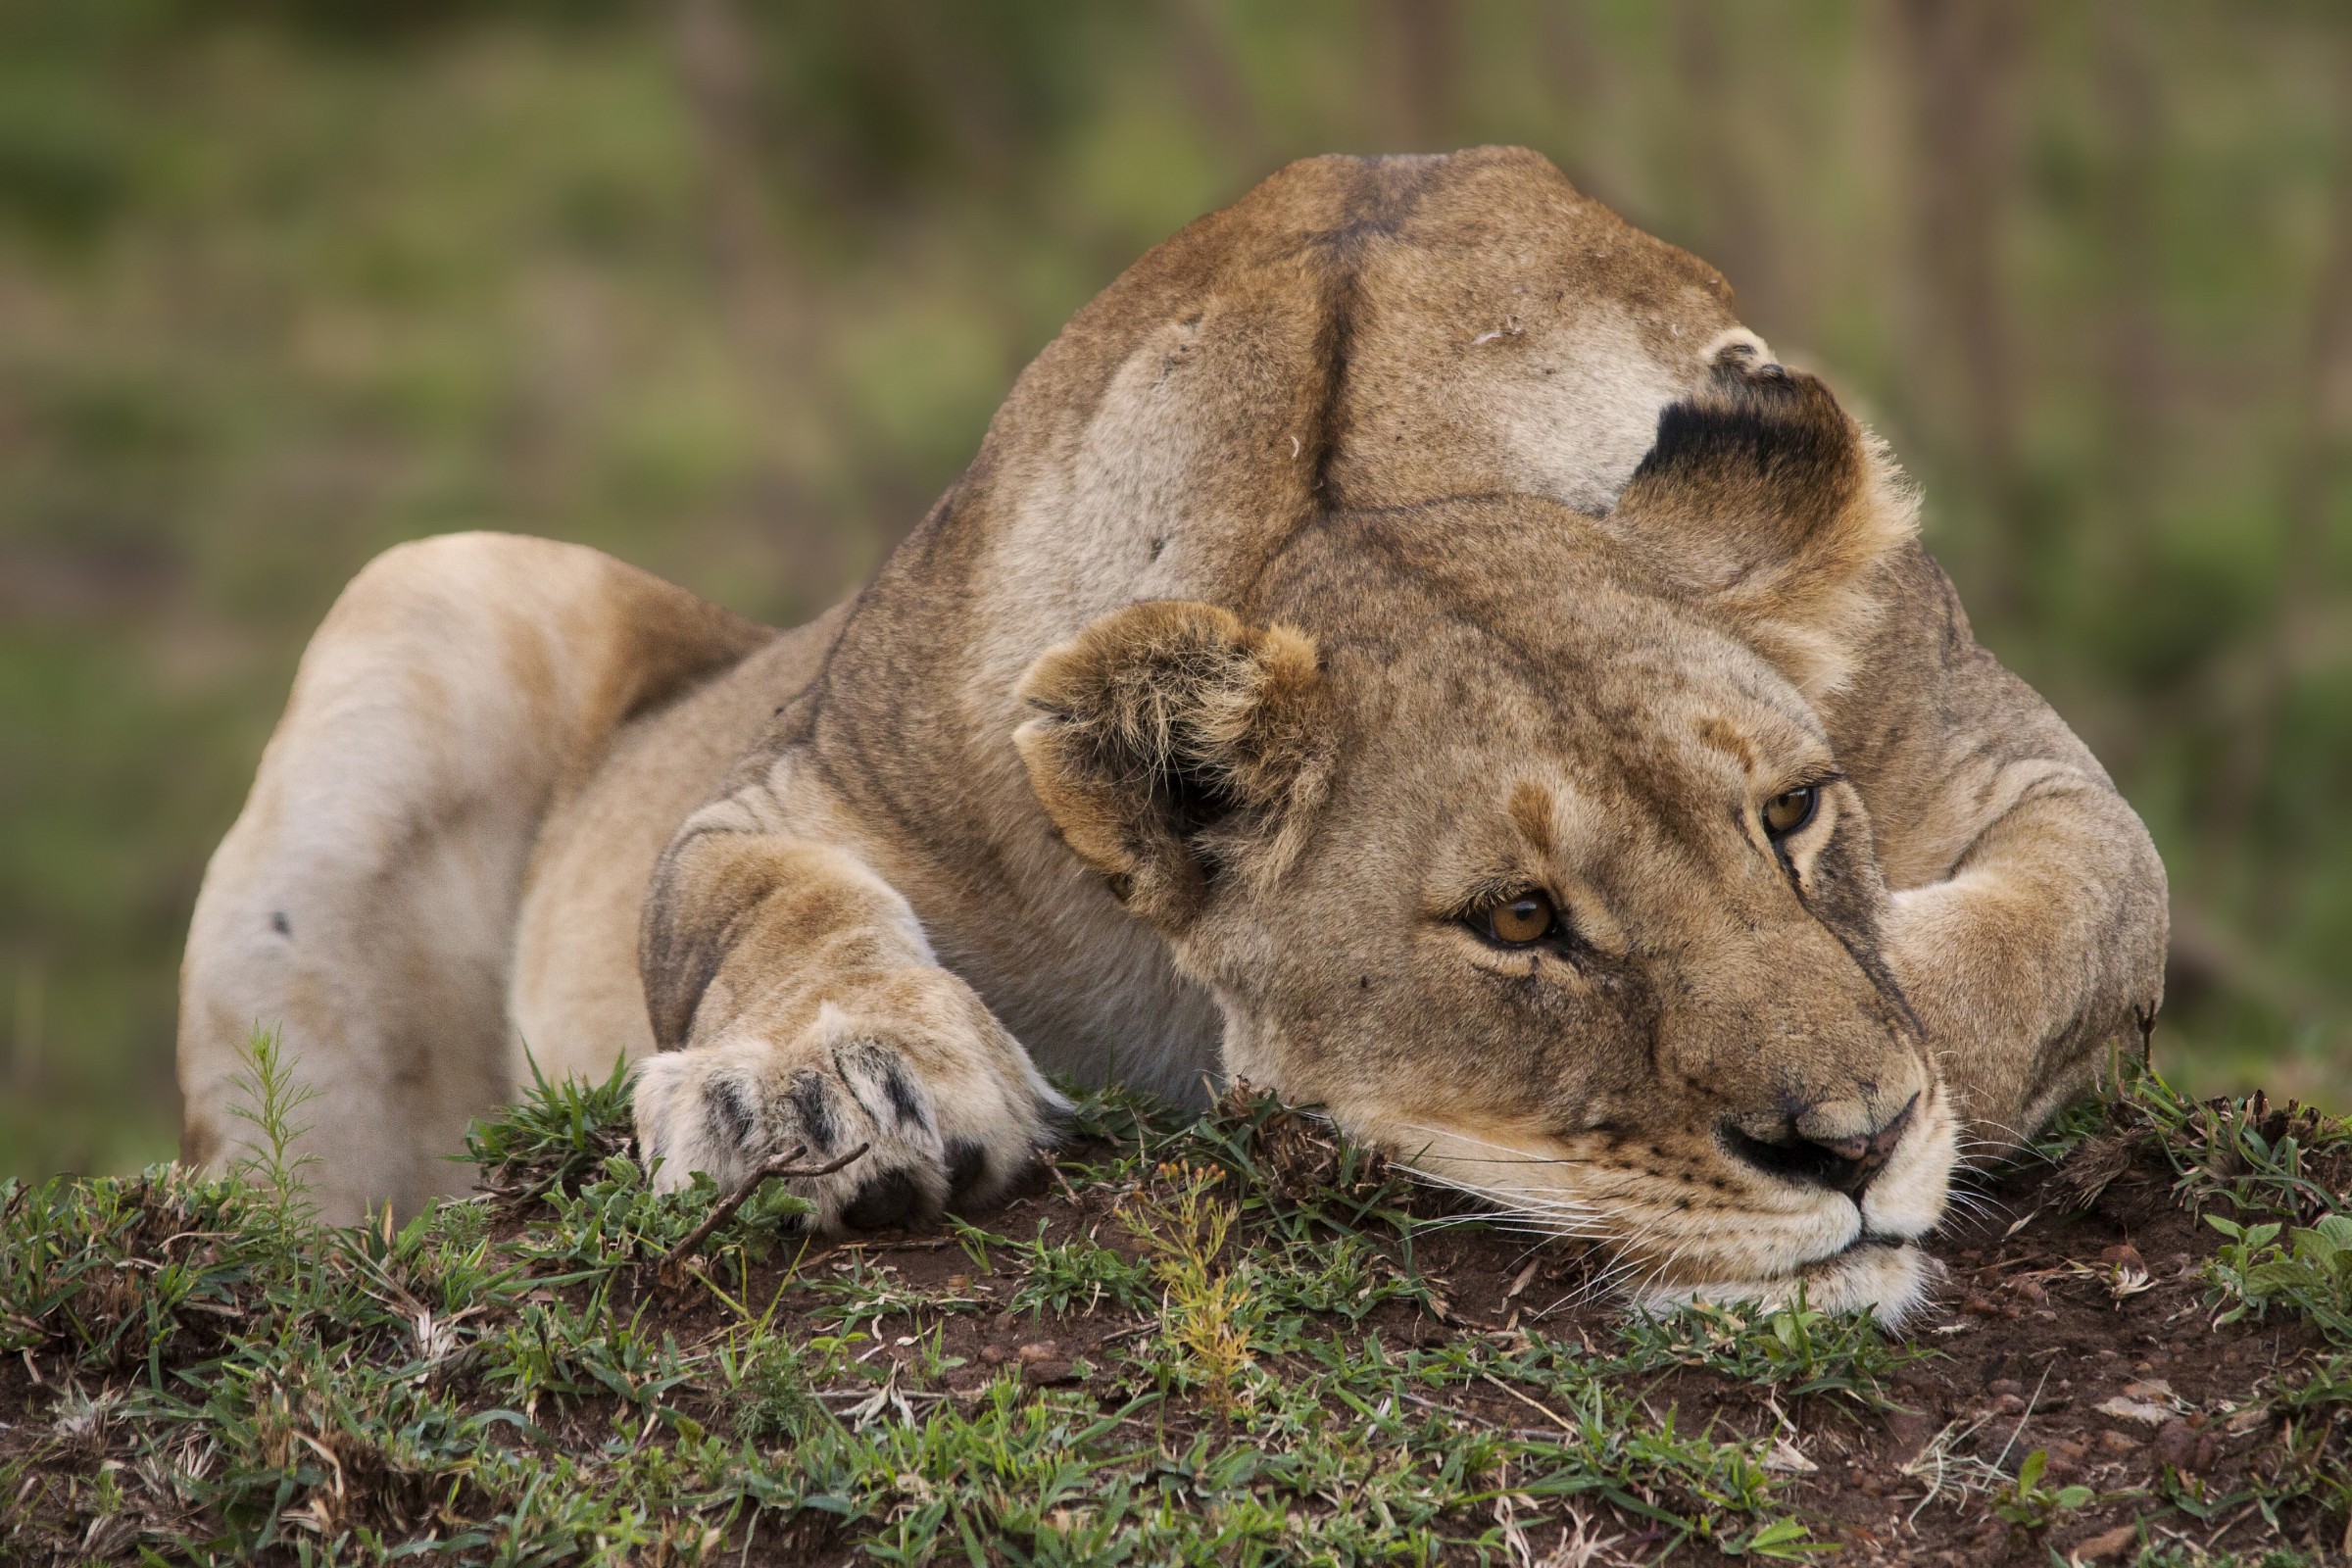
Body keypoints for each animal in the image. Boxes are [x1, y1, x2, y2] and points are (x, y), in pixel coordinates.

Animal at [177, 148, 2167, 1322]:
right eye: (1519, 922)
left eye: (1798, 814)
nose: (1848, 1148)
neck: (1375, 463)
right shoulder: (798, 781)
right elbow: (764, 910)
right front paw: (824, 1090)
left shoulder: (2011, 763)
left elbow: (2046, 942)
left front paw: (1913, 1059)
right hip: (428, 587)